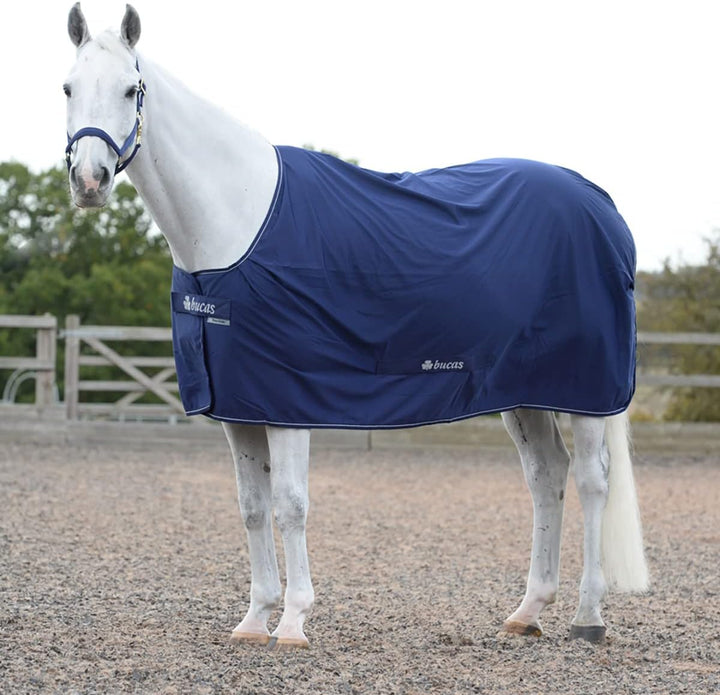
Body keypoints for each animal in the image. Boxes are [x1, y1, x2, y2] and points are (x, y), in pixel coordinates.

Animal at [63, 4, 648, 649]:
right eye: (67, 87)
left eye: (131, 88)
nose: (89, 181)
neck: (235, 222)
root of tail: (601, 204)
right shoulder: (239, 407)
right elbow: (251, 505)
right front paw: (254, 620)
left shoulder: (288, 401)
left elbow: (290, 503)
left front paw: (293, 622)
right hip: (525, 392)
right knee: (547, 476)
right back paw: (528, 611)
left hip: (587, 392)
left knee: (593, 482)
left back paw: (588, 616)